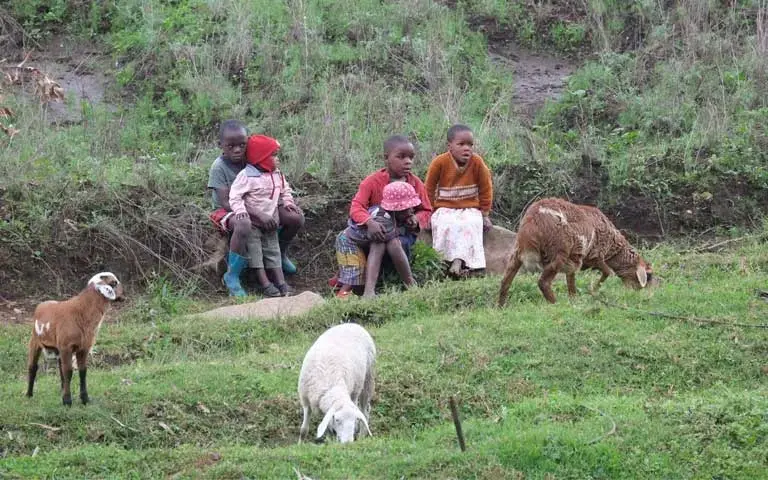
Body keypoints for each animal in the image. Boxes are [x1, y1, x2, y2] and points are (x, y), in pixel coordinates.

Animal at [25, 272, 125, 406]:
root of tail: (42, 304)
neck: (82, 312)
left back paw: (62, 390)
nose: (123, 296)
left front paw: (84, 398)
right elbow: (69, 371)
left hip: (58, 348)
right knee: (33, 367)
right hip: (35, 341)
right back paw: (29, 394)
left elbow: (82, 371)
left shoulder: (84, 347)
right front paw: (67, 401)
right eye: (114, 283)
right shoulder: (66, 346)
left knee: (61, 369)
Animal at [498, 197, 656, 306]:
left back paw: (501, 306)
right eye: (648, 275)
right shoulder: (596, 256)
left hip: (518, 253)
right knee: (543, 282)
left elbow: (571, 281)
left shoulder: (575, 258)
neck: (613, 248)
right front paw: (594, 290)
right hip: (559, 252)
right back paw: (555, 303)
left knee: (505, 280)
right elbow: (607, 272)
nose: (641, 293)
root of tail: (531, 222)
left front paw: (574, 299)